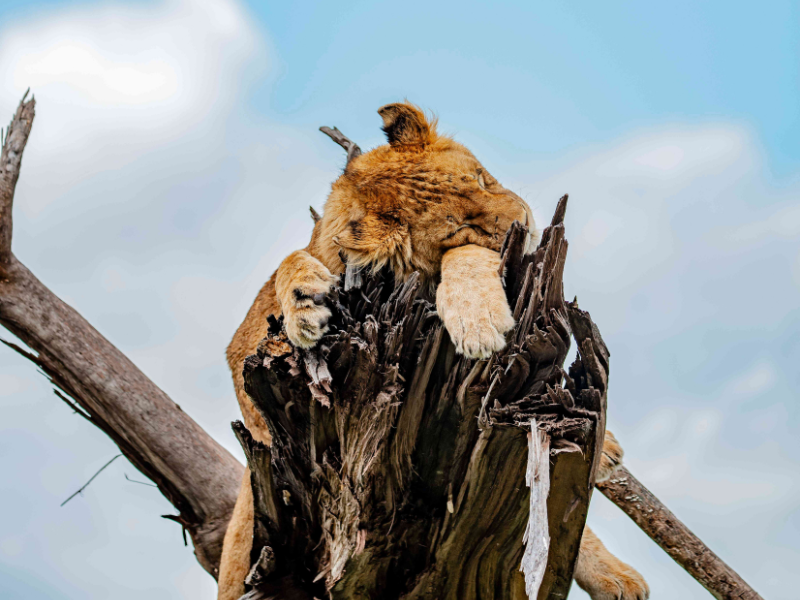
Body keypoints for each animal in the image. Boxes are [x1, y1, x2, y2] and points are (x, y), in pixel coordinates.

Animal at [219, 102, 649, 600]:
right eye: (464, 225)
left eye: (482, 178)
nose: (526, 222)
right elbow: (293, 265)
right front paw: (306, 304)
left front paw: (476, 316)